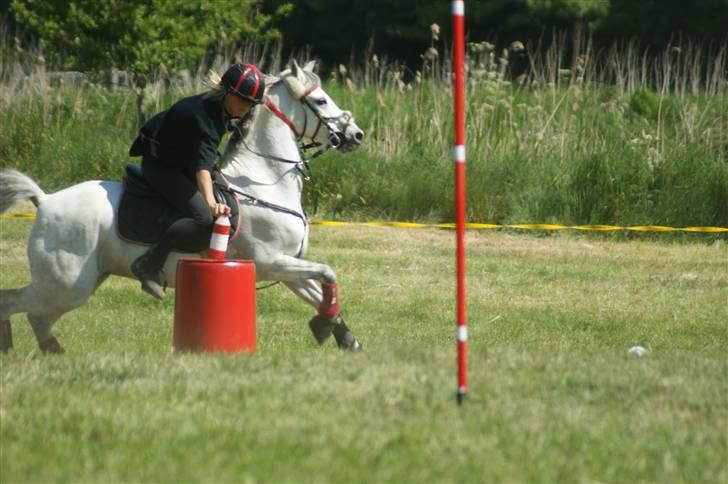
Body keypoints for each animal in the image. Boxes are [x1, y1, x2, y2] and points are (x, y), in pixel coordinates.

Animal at [0, 60, 364, 354]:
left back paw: (50, 350)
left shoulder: (287, 267)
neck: (264, 181)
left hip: (81, 281)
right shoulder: (271, 262)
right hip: (66, 284)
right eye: (321, 100)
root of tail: (46, 200)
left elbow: (323, 291)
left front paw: (341, 335)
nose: (356, 135)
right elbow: (328, 274)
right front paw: (330, 330)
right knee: (21, 305)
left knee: (35, 315)